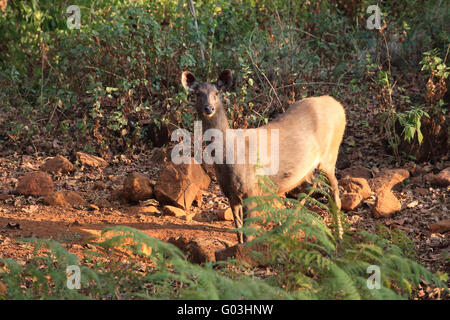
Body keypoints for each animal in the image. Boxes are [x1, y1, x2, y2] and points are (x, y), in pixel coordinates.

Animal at [181, 70, 346, 242]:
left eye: (217, 93)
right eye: (197, 93)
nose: (209, 108)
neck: (229, 158)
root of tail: (338, 105)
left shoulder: (252, 190)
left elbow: (248, 235)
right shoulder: (230, 194)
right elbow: (239, 231)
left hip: (330, 153)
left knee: (334, 191)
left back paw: (339, 235)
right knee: (311, 186)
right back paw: (284, 228)